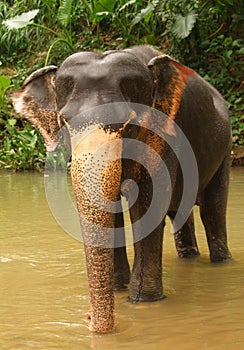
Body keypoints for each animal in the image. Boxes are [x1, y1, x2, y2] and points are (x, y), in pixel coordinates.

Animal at [11, 44, 233, 334]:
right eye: (65, 122)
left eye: (128, 122)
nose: (88, 319)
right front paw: (118, 289)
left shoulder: (162, 136)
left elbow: (148, 209)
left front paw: (143, 301)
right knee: (180, 213)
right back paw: (188, 257)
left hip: (225, 147)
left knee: (213, 211)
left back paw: (222, 261)